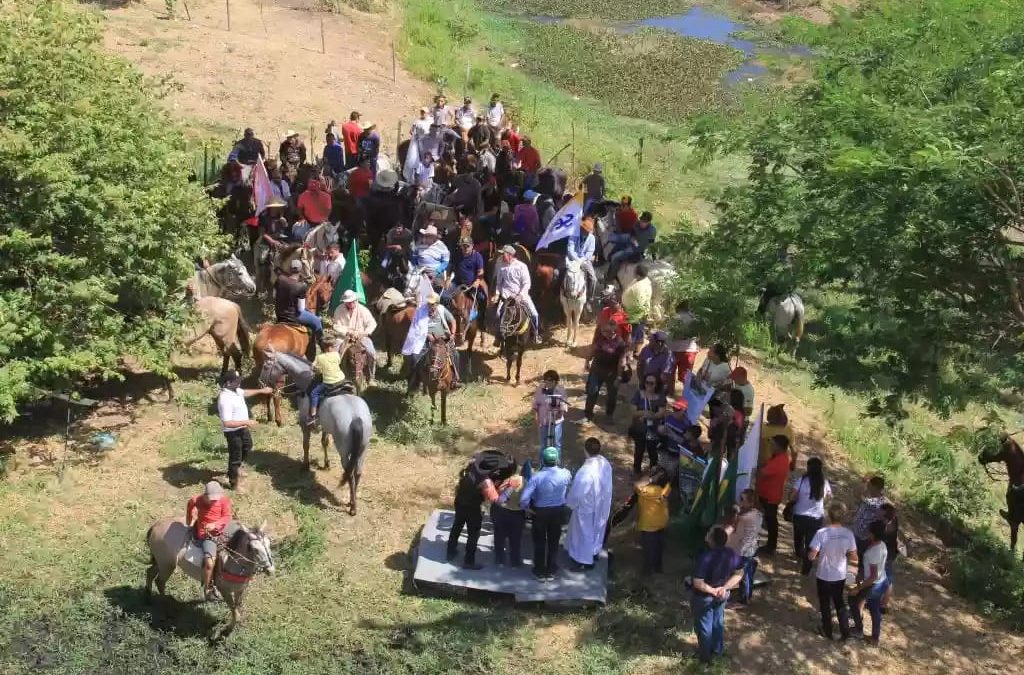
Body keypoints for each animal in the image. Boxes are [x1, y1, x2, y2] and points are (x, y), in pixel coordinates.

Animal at [144, 518, 274, 639]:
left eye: (269, 544)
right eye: (252, 548)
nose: (270, 570)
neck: (231, 562)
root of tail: (156, 525)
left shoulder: (240, 590)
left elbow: (237, 610)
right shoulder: (225, 591)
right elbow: (235, 612)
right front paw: (226, 631)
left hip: (161, 562)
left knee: (150, 573)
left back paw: (149, 597)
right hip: (167, 565)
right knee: (160, 582)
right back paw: (167, 607)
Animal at [258, 350, 374, 514]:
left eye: (266, 365)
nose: (260, 383)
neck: (306, 381)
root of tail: (356, 417)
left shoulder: (304, 424)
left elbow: (305, 445)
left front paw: (305, 465)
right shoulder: (325, 426)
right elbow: (324, 442)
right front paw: (326, 464)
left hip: (344, 451)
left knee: (350, 474)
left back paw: (353, 507)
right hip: (362, 450)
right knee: (357, 473)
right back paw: (352, 502)